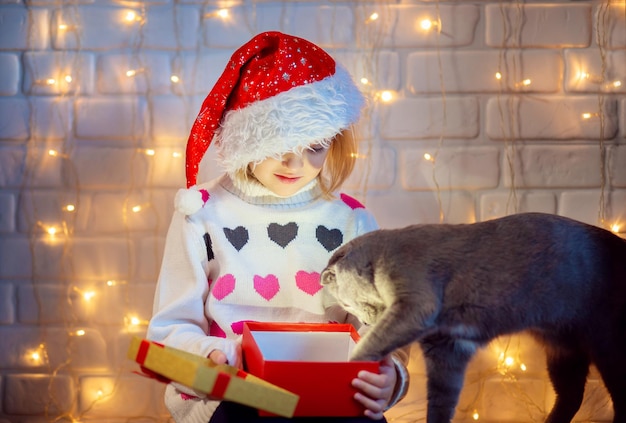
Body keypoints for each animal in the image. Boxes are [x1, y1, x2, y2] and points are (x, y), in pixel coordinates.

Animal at [322, 214, 624, 422]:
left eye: (345, 302)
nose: (366, 321)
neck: (383, 256)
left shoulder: (416, 303)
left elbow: (371, 344)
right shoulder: (446, 348)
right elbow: (441, 400)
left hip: (608, 346)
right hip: (563, 350)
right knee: (571, 395)